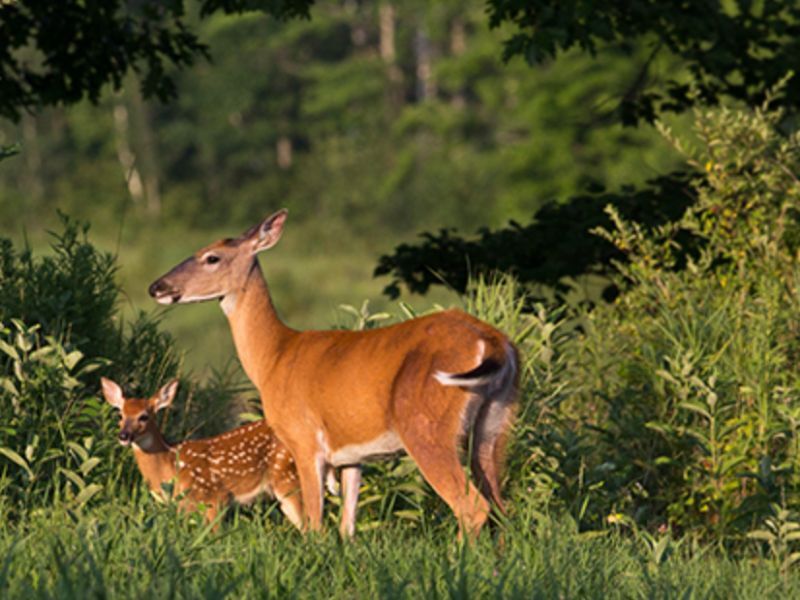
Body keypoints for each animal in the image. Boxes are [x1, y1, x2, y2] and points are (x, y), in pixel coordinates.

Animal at [102, 378, 306, 528]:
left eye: (144, 416)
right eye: (120, 415)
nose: (123, 435)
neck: (171, 464)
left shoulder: (214, 496)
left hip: (288, 479)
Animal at [148, 211, 520, 540]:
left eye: (211, 257)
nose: (157, 286)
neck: (274, 357)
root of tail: (493, 342)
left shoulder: (303, 438)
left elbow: (314, 525)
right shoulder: (352, 456)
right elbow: (347, 527)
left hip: (425, 424)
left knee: (472, 507)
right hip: (494, 423)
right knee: (501, 507)